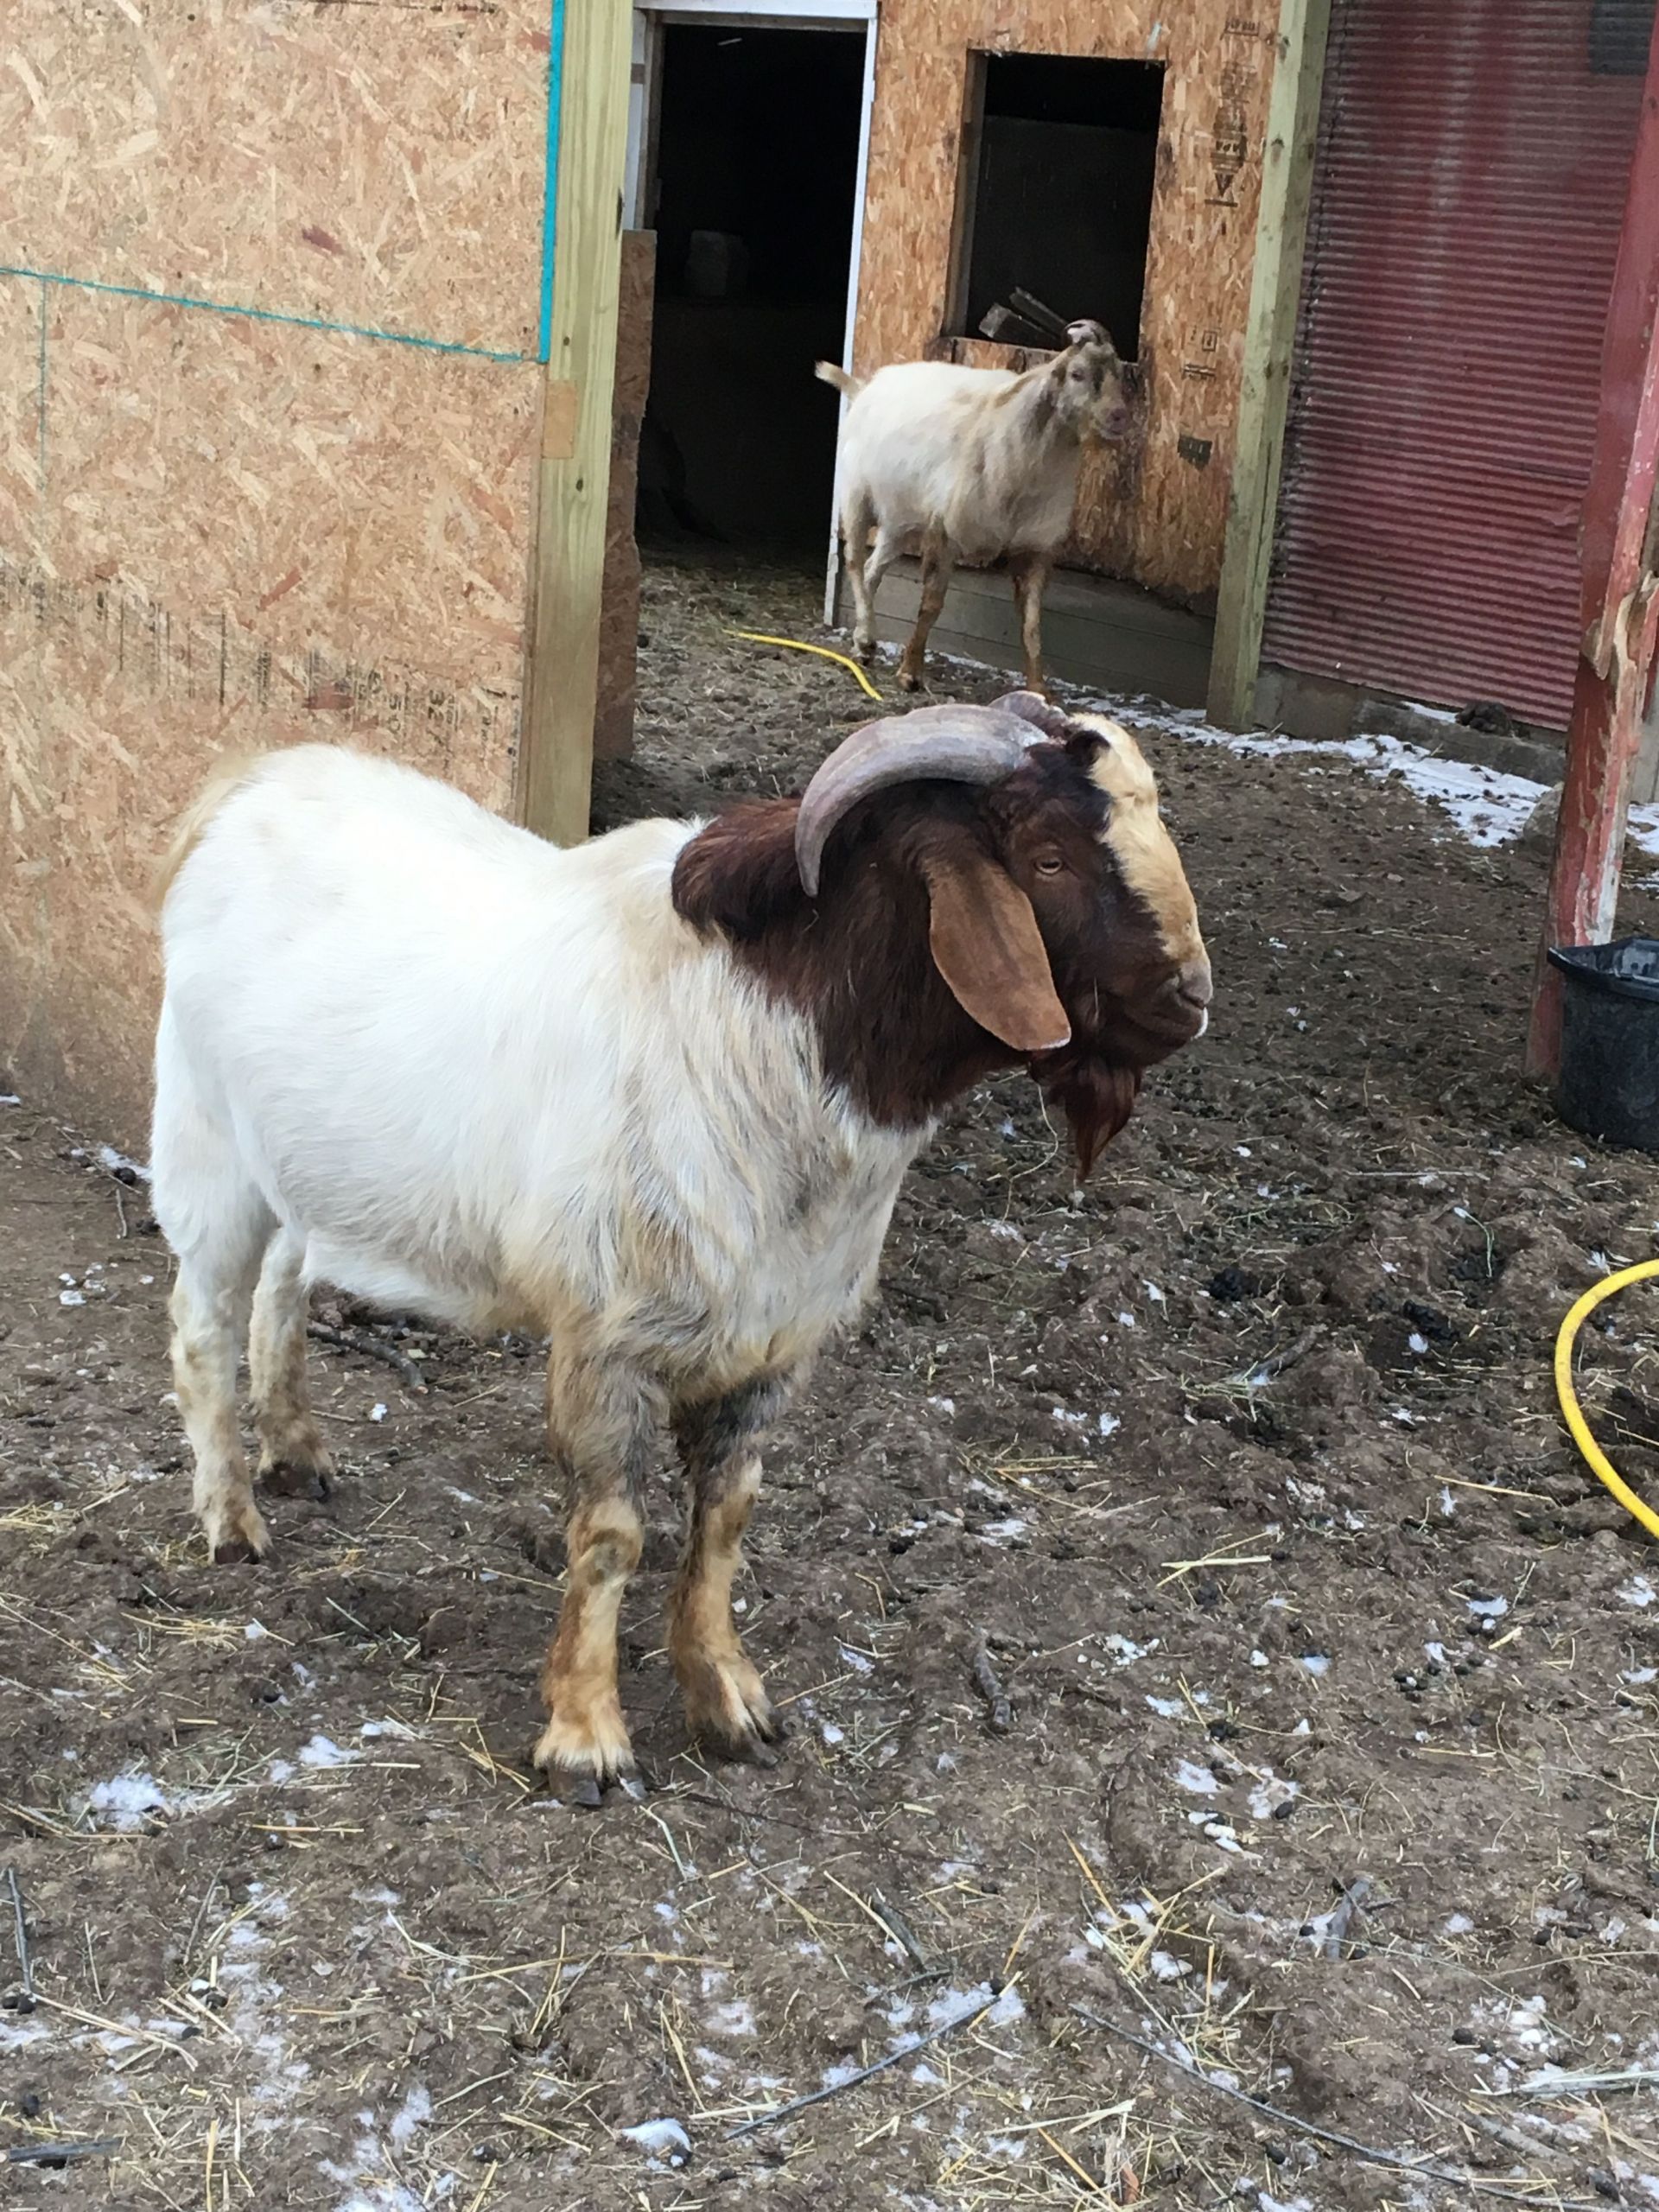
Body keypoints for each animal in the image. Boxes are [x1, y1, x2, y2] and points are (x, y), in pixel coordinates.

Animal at [152, 690, 1211, 1796]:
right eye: (1047, 856)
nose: (1192, 997)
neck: (767, 1032)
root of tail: (249, 784)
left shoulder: (772, 1343)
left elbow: (725, 1518)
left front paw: (729, 1699)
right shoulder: (606, 1339)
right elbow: (612, 1533)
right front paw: (585, 1736)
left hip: (298, 1164)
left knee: (280, 1283)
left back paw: (298, 1452)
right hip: (205, 1134)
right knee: (202, 1318)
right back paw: (232, 1521)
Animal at [818, 322, 1132, 690]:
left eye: (1120, 373)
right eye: (1077, 374)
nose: (1119, 416)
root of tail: (868, 386)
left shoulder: (1035, 548)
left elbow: (1032, 626)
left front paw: (1040, 691)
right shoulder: (946, 530)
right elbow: (931, 604)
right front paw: (910, 673)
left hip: (901, 518)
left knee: (872, 569)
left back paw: (863, 642)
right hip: (857, 494)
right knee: (854, 561)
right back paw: (867, 636)